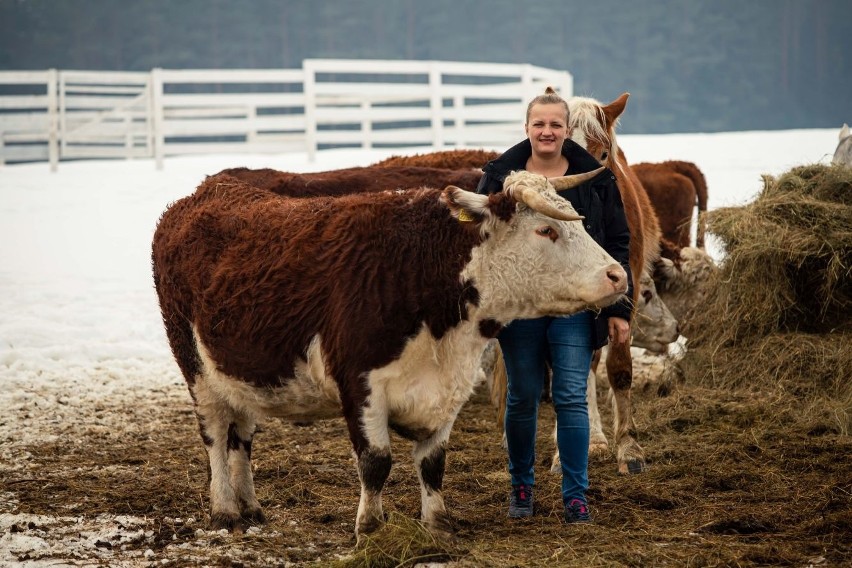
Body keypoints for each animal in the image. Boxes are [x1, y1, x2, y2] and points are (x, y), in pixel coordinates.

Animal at [151, 166, 624, 540]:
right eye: (546, 230)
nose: (618, 275)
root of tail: (201, 195)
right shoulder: (360, 385)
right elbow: (375, 462)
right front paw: (371, 529)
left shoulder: (450, 386)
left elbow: (433, 463)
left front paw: (437, 525)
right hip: (194, 365)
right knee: (215, 434)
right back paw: (224, 510)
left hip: (239, 370)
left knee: (241, 436)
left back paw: (250, 506)